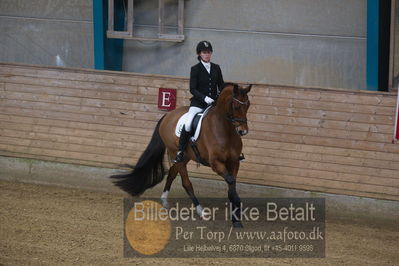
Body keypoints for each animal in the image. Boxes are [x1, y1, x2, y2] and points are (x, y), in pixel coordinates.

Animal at [111, 82, 252, 227]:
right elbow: (230, 180)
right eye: (236, 106)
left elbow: (232, 183)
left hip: (185, 156)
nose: (243, 131)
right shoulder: (216, 163)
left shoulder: (234, 161)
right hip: (175, 153)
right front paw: (236, 210)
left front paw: (236, 217)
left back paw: (164, 200)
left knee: (172, 173)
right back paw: (201, 211)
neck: (225, 130)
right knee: (186, 183)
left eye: (248, 105)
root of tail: (168, 115)